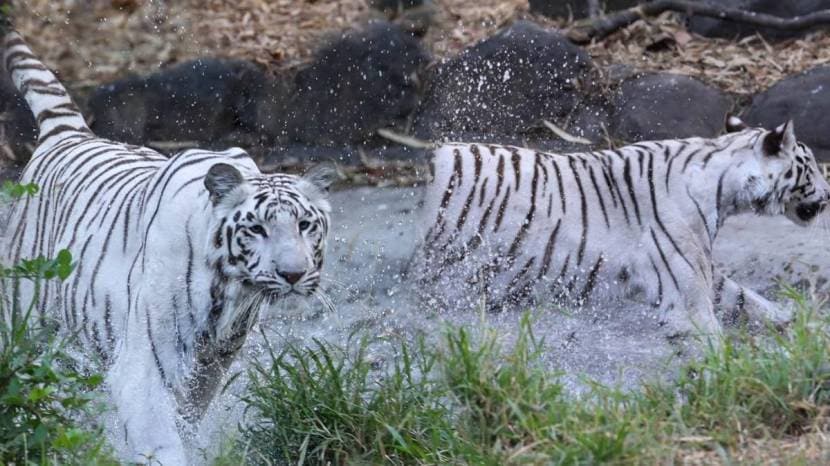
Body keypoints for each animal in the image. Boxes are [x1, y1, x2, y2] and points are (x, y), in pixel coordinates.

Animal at [3, 27, 336, 464]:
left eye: (304, 225)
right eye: (257, 229)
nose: (294, 274)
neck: (231, 294)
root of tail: (68, 132)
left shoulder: (211, 366)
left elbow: (188, 417)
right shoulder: (144, 364)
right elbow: (159, 436)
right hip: (23, 320)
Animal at [414, 116, 830, 342]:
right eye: (811, 164)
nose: (828, 194)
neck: (724, 186)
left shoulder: (699, 268)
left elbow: (747, 298)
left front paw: (794, 319)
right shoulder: (685, 284)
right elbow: (712, 332)